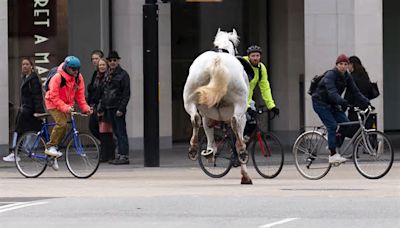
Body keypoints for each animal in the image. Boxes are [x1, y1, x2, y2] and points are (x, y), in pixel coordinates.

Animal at [183, 29, 252, 185]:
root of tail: (217, 60)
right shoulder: (242, 119)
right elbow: (238, 136)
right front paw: (245, 175)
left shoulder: (208, 114)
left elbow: (207, 126)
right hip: (239, 103)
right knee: (235, 122)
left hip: (190, 97)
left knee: (195, 118)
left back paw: (195, 148)